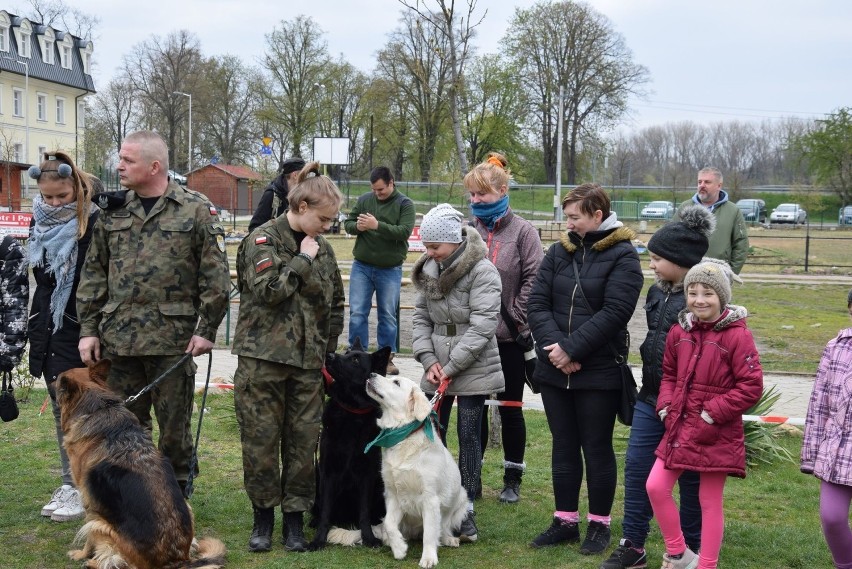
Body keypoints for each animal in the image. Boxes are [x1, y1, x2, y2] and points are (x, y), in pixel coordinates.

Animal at [52, 360, 226, 568]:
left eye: (58, 380)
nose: (49, 381)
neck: (100, 408)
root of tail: (176, 560)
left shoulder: (89, 502)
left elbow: (90, 540)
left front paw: (82, 554)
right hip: (188, 508)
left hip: (102, 525)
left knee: (114, 560)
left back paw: (94, 562)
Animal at [308, 340, 392, 548]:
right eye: (346, 352)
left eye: (355, 360)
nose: (328, 355)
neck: (352, 413)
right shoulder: (328, 472)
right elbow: (326, 511)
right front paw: (319, 539)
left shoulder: (367, 473)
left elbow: (364, 512)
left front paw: (369, 537)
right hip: (315, 476)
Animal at [360, 372, 466, 568]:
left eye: (396, 382)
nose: (371, 374)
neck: (403, 436)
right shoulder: (393, 494)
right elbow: (389, 523)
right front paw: (399, 549)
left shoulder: (430, 499)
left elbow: (430, 533)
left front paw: (429, 557)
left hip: (462, 496)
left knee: (443, 527)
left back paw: (449, 539)